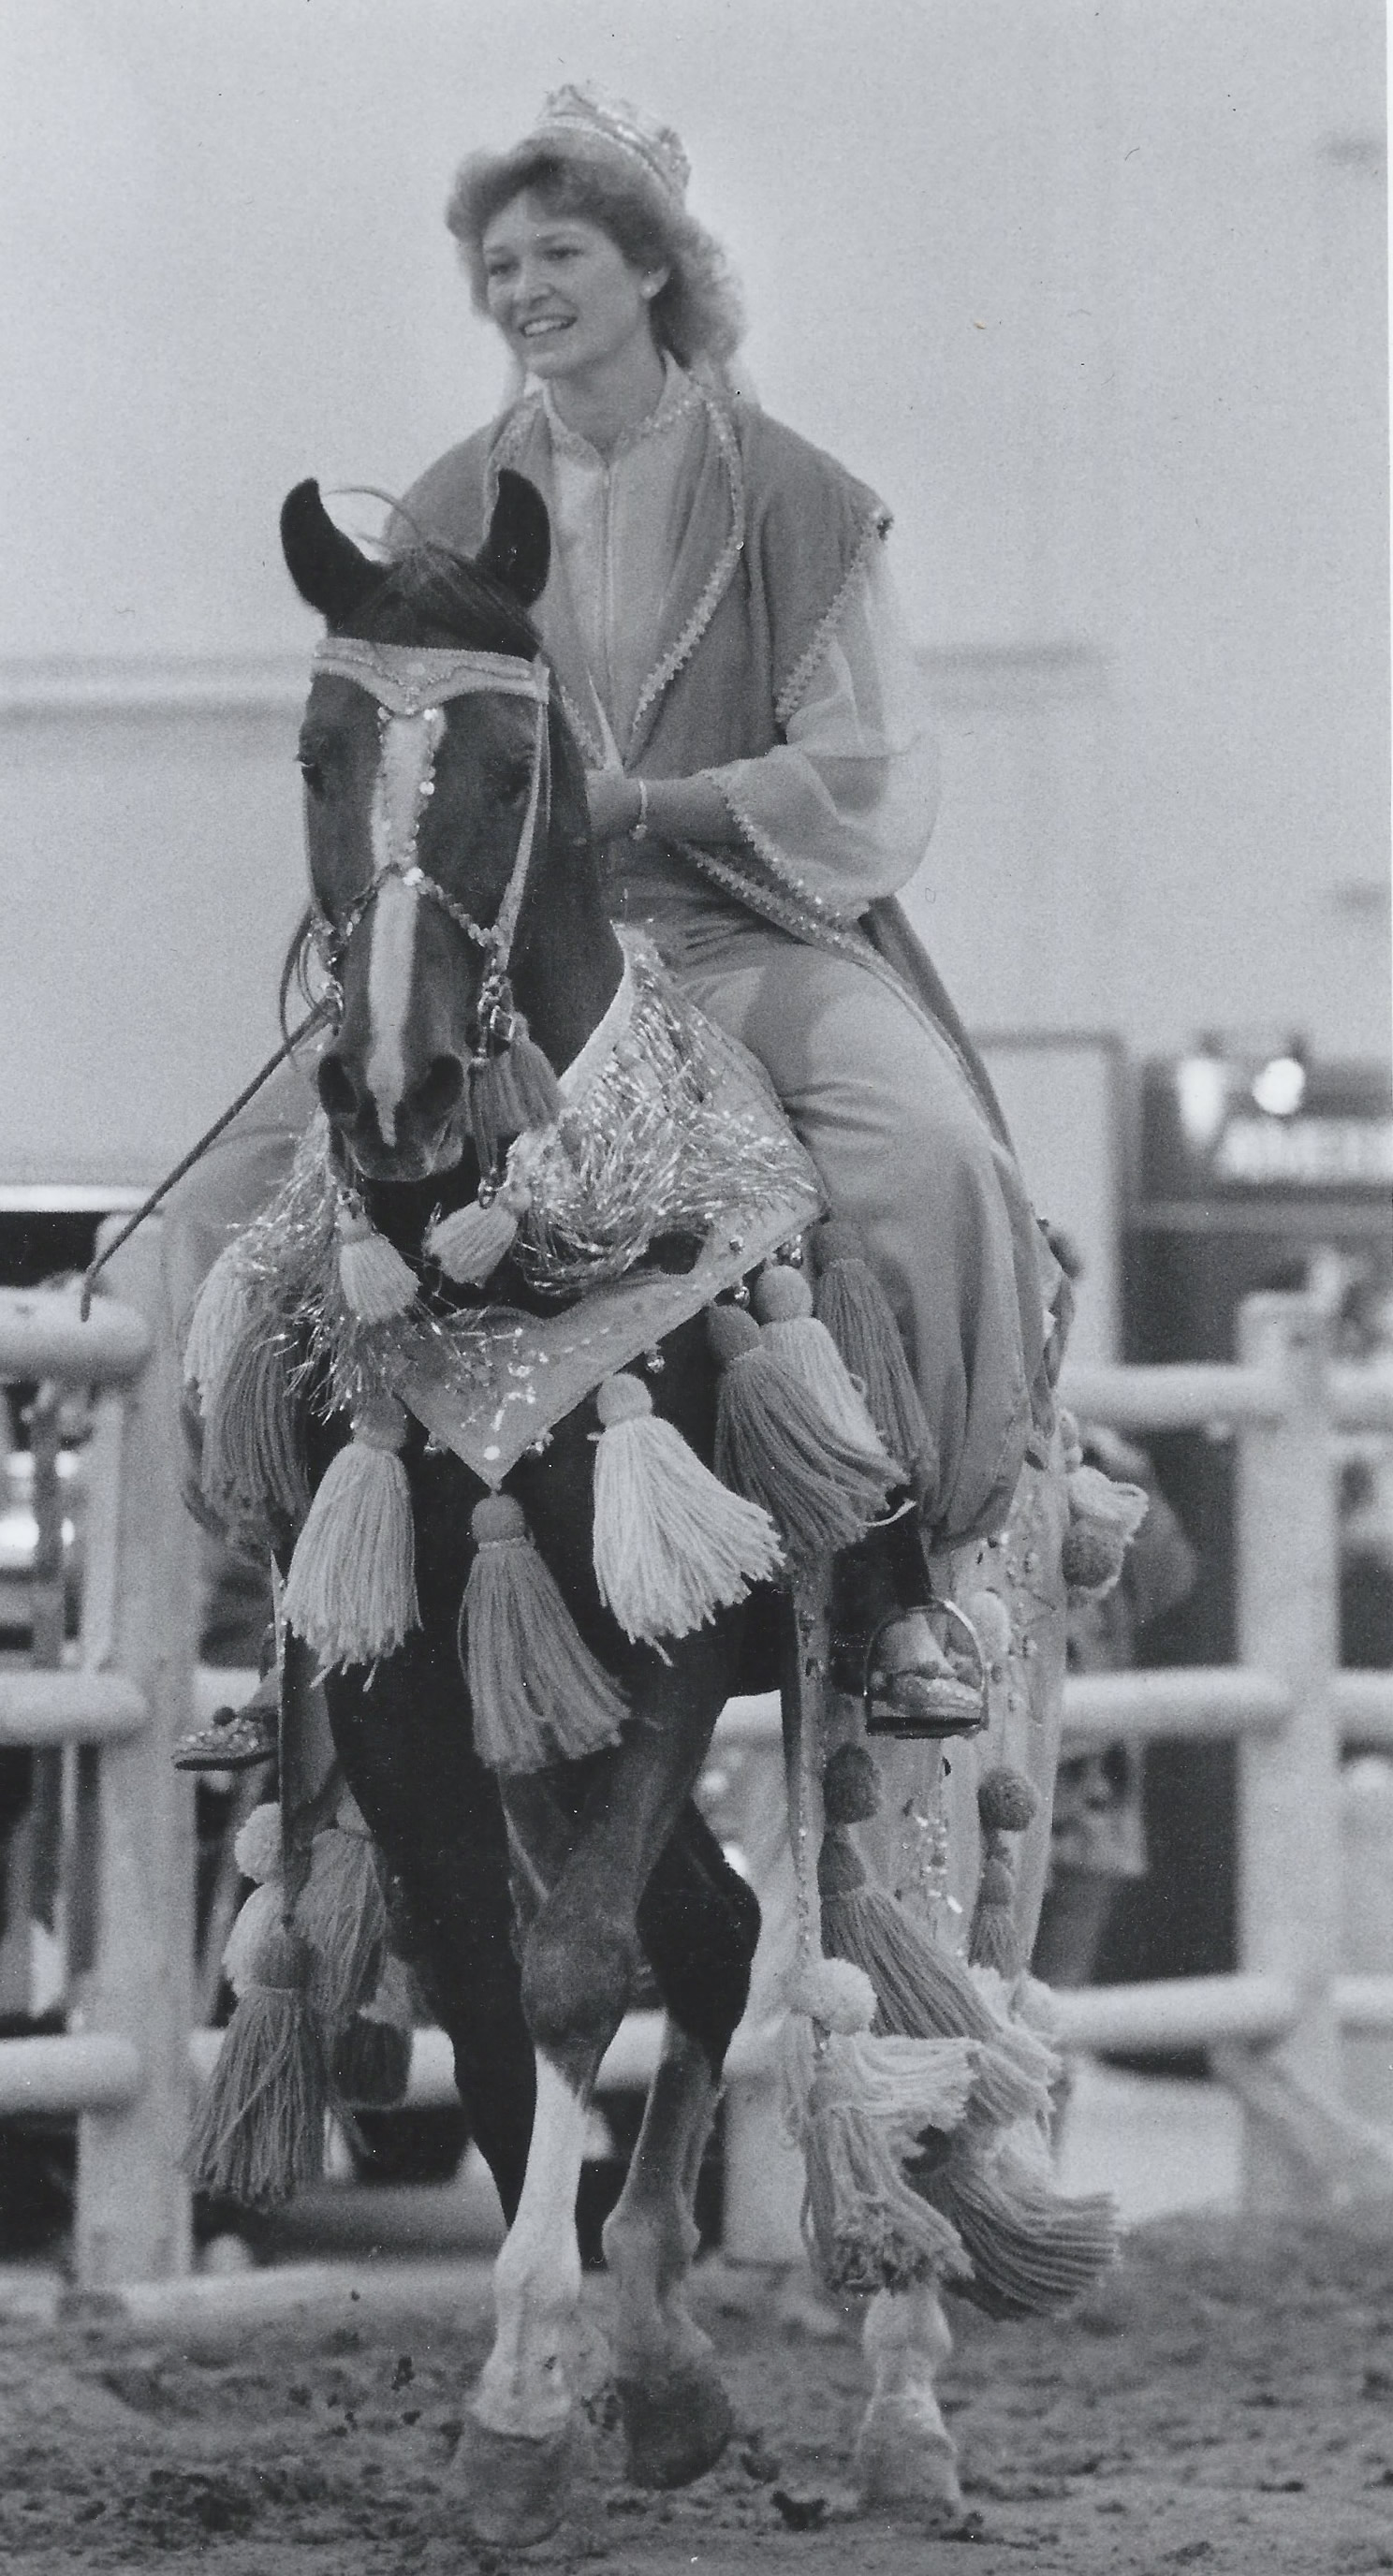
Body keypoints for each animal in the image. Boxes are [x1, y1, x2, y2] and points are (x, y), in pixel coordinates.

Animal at [183, 474, 1117, 2544]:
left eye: (512, 763)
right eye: (318, 749)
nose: (389, 1089)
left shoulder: (669, 1626)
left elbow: (573, 1964)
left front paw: (529, 2400)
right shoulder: (403, 1671)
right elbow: (486, 1974)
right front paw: (605, 2375)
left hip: (967, 1696)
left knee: (931, 1989)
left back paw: (905, 2408)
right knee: (720, 1933)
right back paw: (673, 2352)